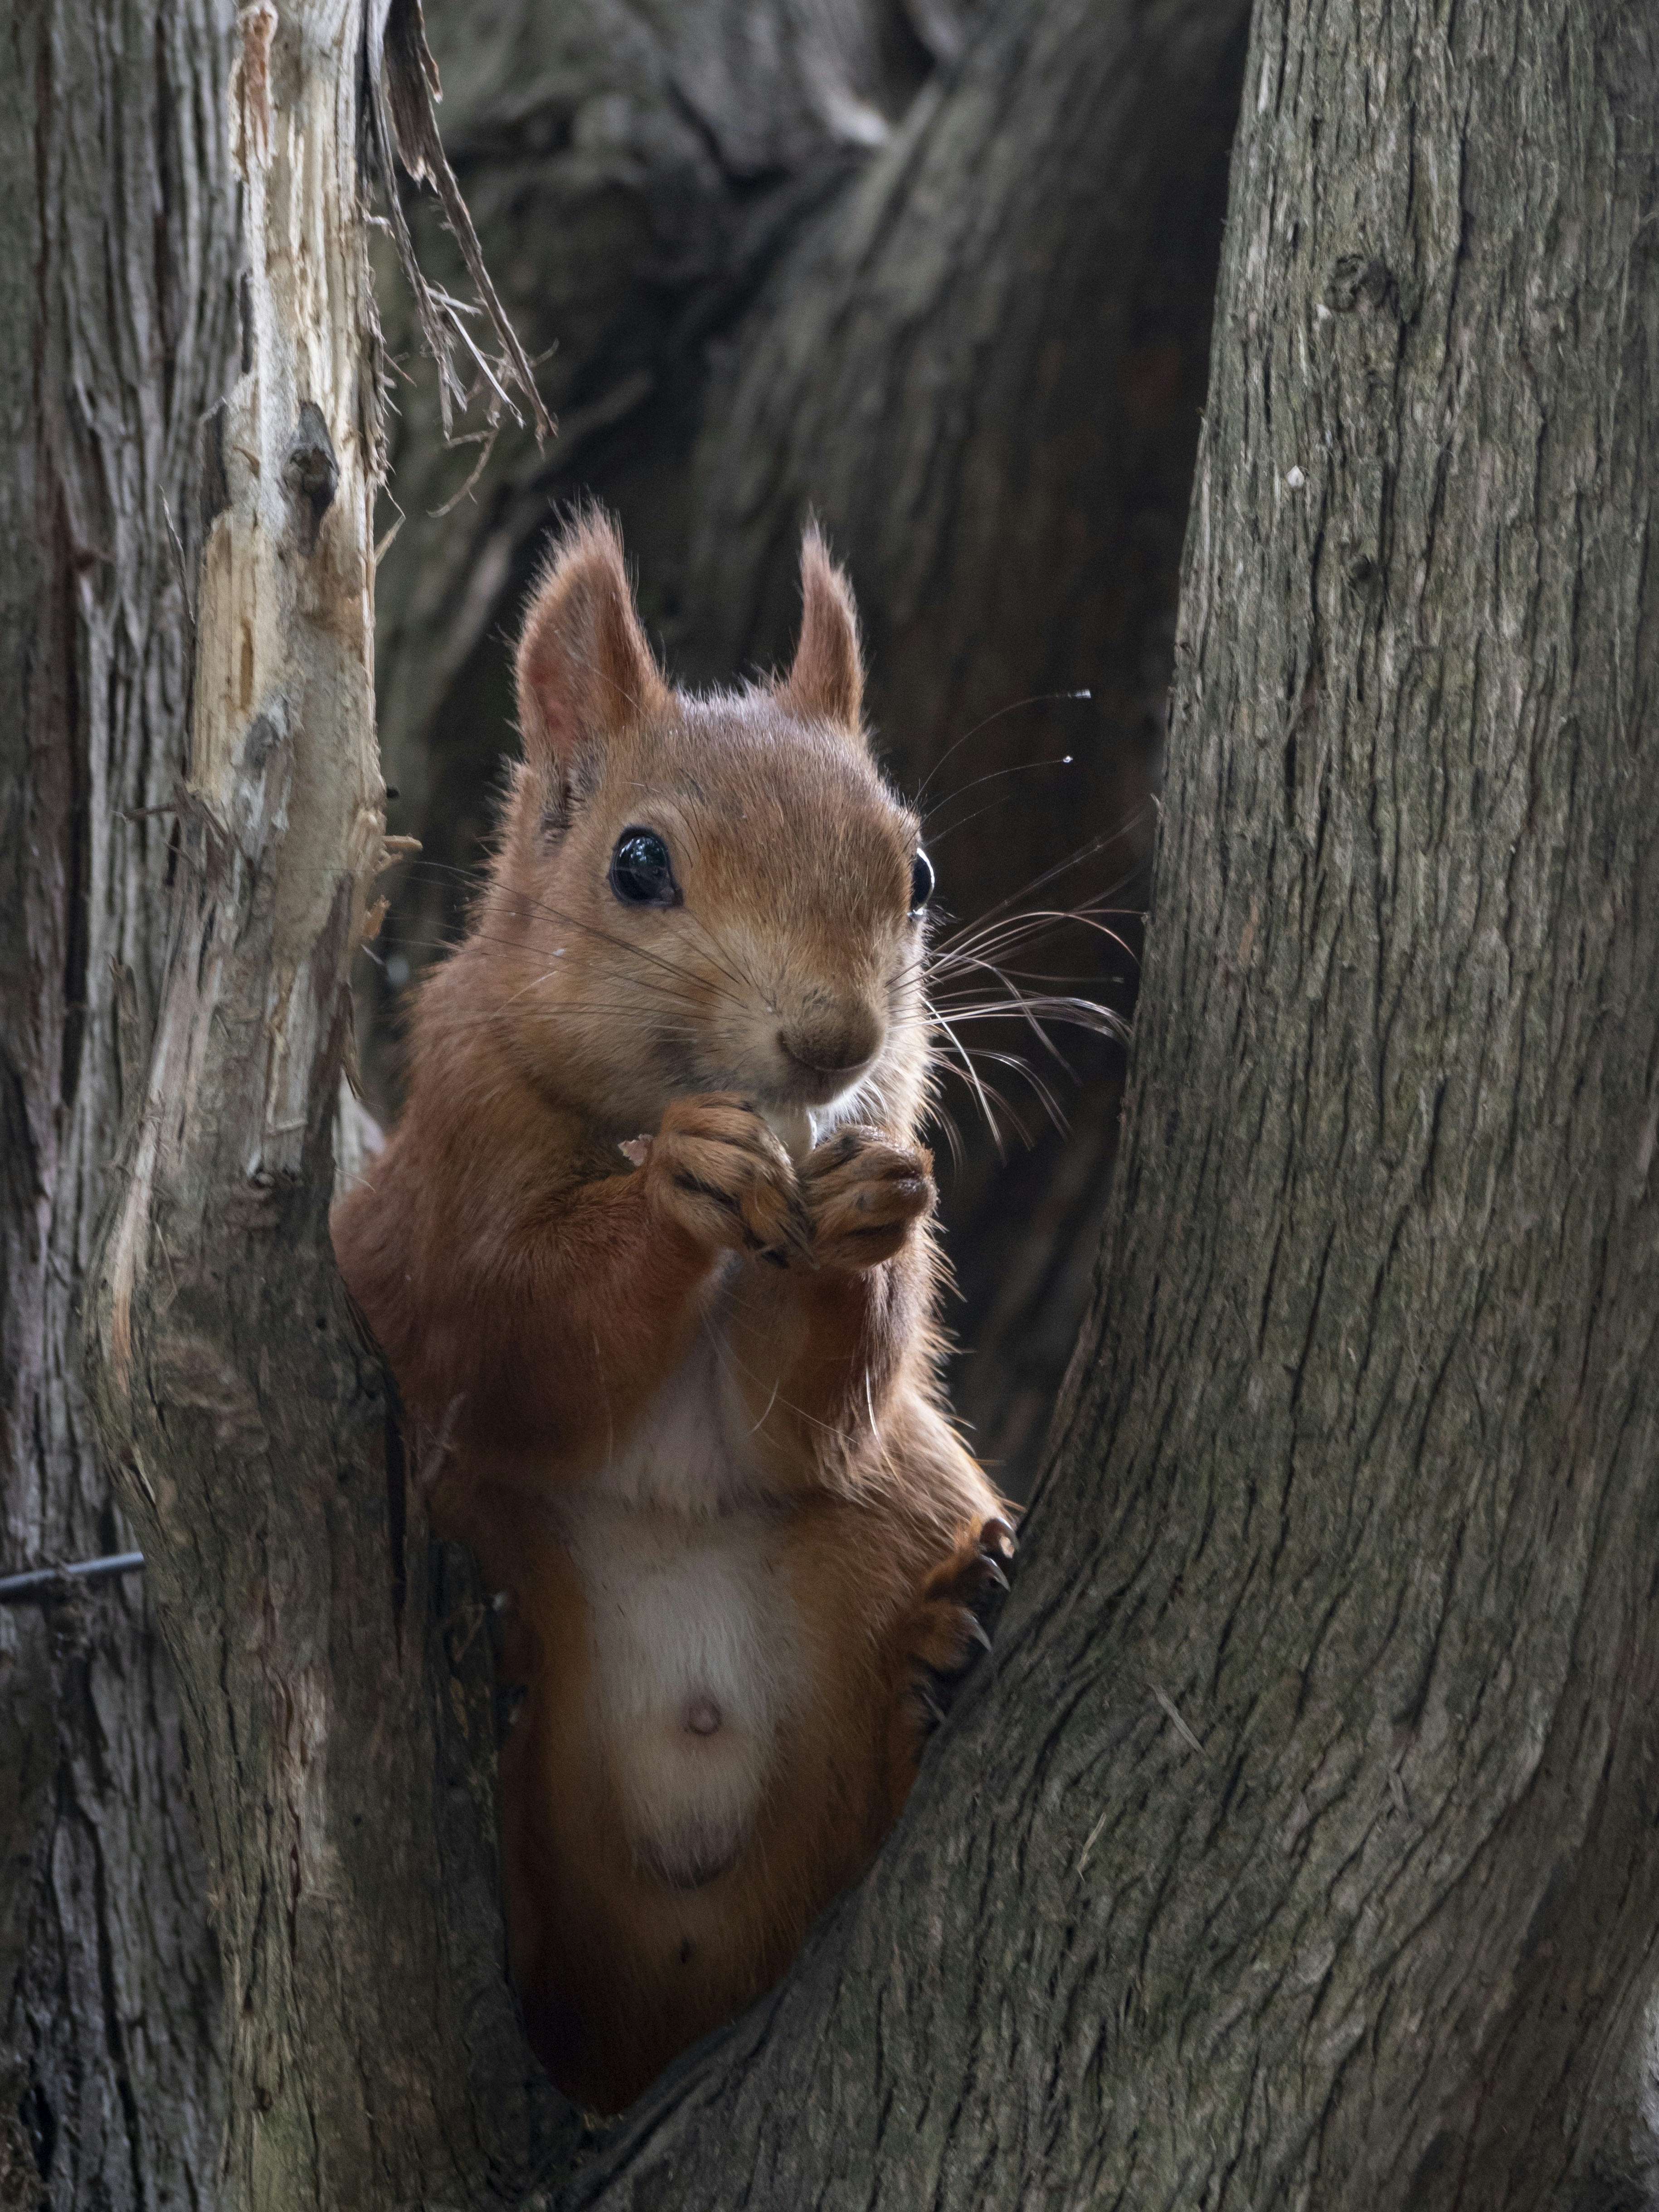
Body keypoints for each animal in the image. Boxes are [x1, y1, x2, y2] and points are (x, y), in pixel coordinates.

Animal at [332, 513, 1011, 2113]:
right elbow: (521, 1330)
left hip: (896, 1511)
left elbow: (806, 1423)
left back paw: (942, 1651)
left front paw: (866, 1217)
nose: (834, 1042)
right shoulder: (446, 1186)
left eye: (917, 869)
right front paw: (675, 1188)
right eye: (636, 864)